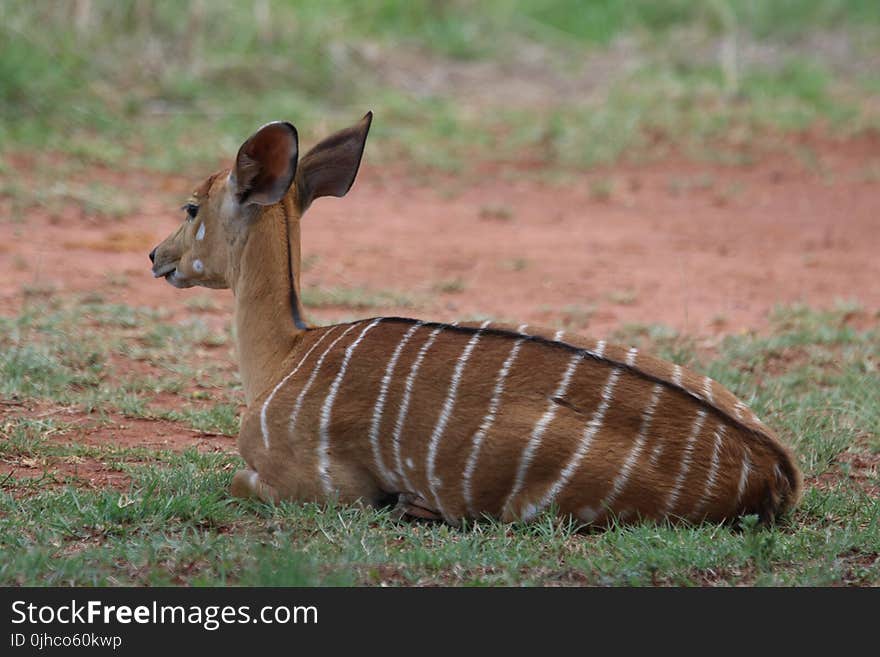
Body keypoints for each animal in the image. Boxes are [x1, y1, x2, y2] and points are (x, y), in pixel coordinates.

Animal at [148, 113, 800, 528]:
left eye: (191, 206)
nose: (156, 255)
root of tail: (776, 470)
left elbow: (236, 481)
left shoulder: (322, 487)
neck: (285, 351)